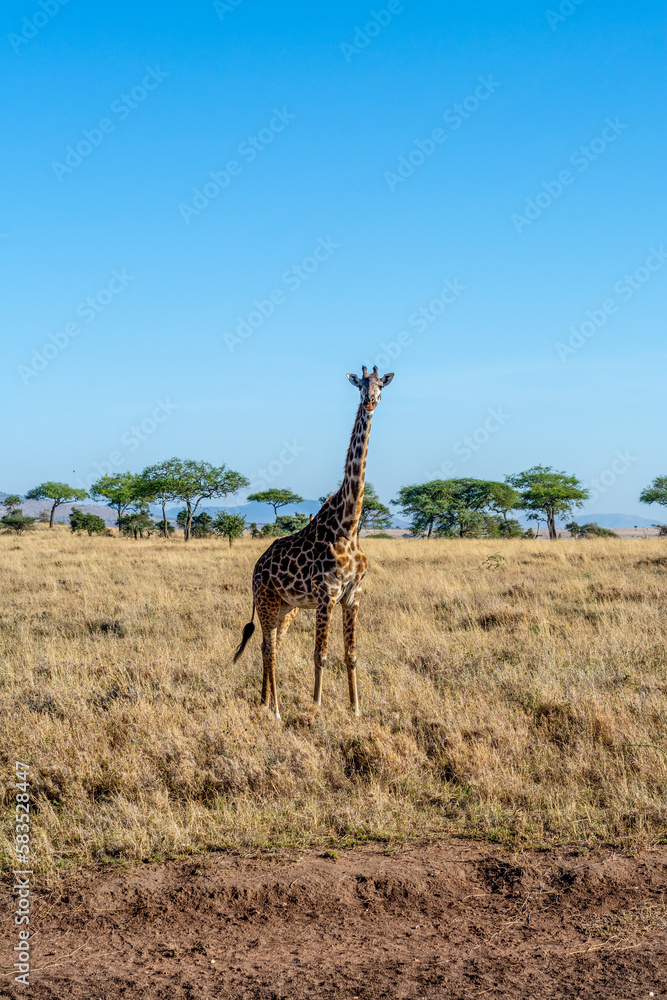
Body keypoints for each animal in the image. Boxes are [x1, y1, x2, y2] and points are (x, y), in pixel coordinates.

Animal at [233, 366, 394, 720]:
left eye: (381, 385)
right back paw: (276, 711)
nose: (371, 401)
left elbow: (351, 654)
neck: (349, 524)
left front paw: (356, 709)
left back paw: (265, 701)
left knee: (271, 646)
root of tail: (256, 567)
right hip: (266, 601)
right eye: (360, 385)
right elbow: (320, 654)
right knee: (269, 647)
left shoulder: (353, 596)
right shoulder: (326, 595)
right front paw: (317, 705)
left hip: (286, 607)